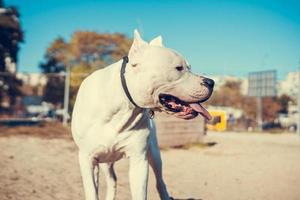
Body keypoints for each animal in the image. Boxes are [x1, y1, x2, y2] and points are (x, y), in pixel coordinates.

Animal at [71, 30, 214, 200]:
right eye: (179, 68)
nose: (211, 82)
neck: (121, 109)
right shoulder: (88, 160)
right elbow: (92, 192)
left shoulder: (139, 160)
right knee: (112, 179)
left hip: (154, 154)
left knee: (160, 181)